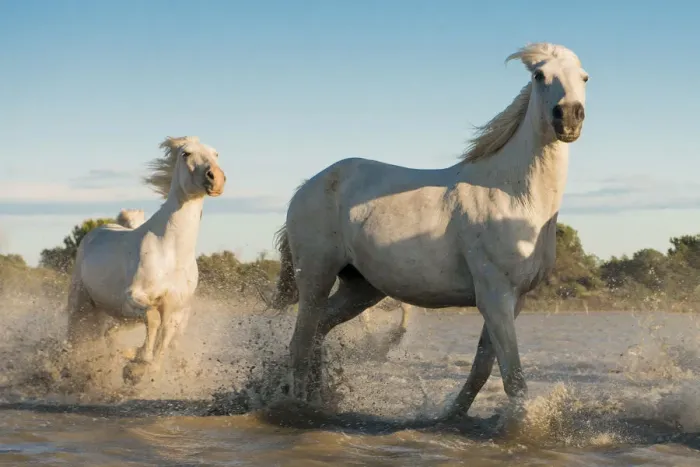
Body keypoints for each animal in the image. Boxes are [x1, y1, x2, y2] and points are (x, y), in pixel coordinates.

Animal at [66, 136, 226, 385]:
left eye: (216, 154)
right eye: (186, 154)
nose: (216, 178)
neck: (171, 253)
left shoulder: (175, 309)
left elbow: (164, 337)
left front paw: (139, 368)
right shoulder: (133, 298)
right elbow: (152, 319)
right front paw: (137, 363)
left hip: (119, 316)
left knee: (108, 334)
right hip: (82, 303)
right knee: (74, 337)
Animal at [269, 42, 589, 419]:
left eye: (584, 77)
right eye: (540, 76)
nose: (568, 117)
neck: (514, 194)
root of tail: (307, 186)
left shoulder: (514, 299)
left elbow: (481, 370)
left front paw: (450, 417)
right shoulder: (494, 295)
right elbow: (513, 378)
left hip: (361, 288)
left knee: (320, 331)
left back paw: (320, 401)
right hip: (316, 277)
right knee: (301, 344)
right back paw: (299, 407)